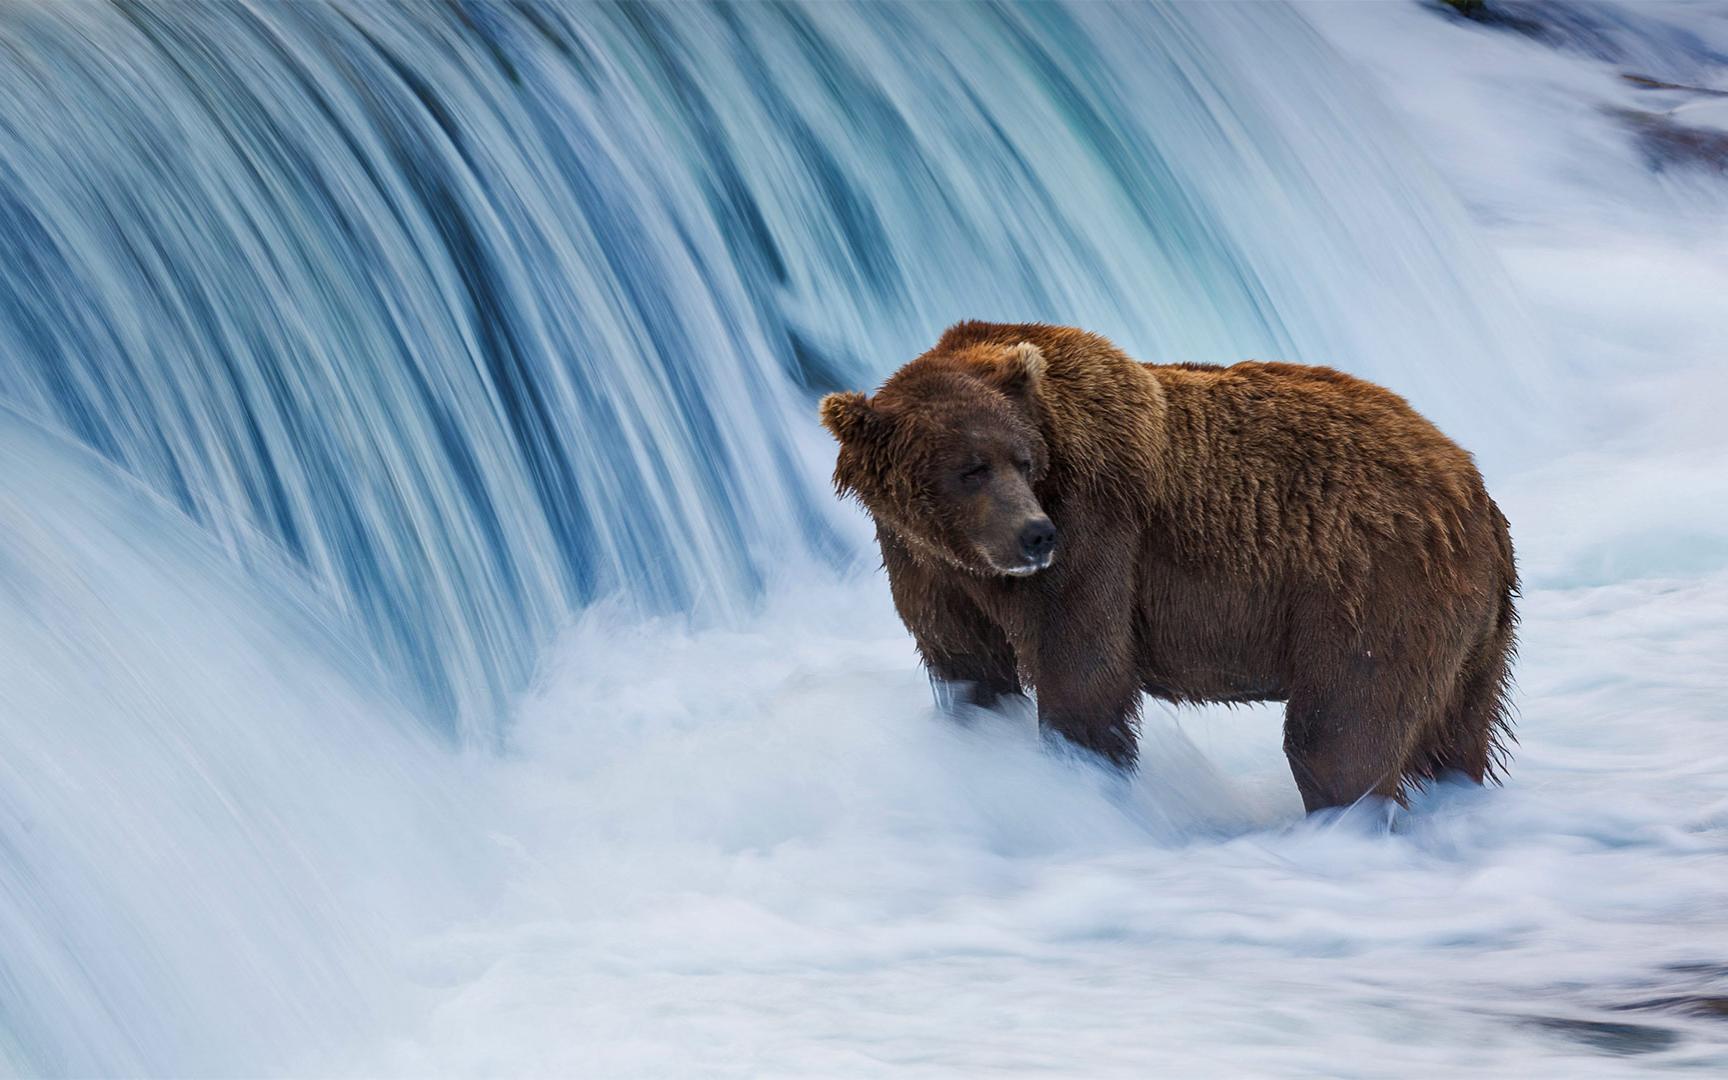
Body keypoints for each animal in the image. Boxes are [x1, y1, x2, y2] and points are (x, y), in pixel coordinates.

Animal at [819, 321, 1518, 812]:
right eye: (971, 469)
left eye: (1022, 459)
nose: (1035, 535)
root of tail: (1473, 485)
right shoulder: (929, 571)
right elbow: (970, 672)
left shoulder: (1097, 532)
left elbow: (1084, 676)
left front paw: (1083, 780)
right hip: (1471, 632)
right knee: (1453, 735)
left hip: (1374, 586)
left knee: (1339, 733)